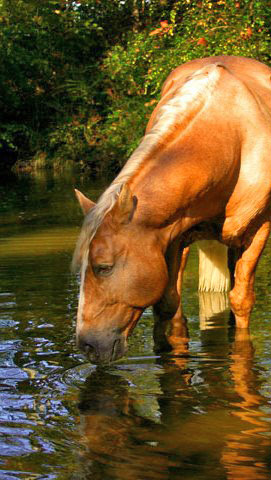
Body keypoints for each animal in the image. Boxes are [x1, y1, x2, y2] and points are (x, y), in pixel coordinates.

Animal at [73, 55, 271, 364]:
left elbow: (241, 301)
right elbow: (167, 306)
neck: (229, 141)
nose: (87, 346)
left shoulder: (258, 230)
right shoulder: (171, 238)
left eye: (103, 267)